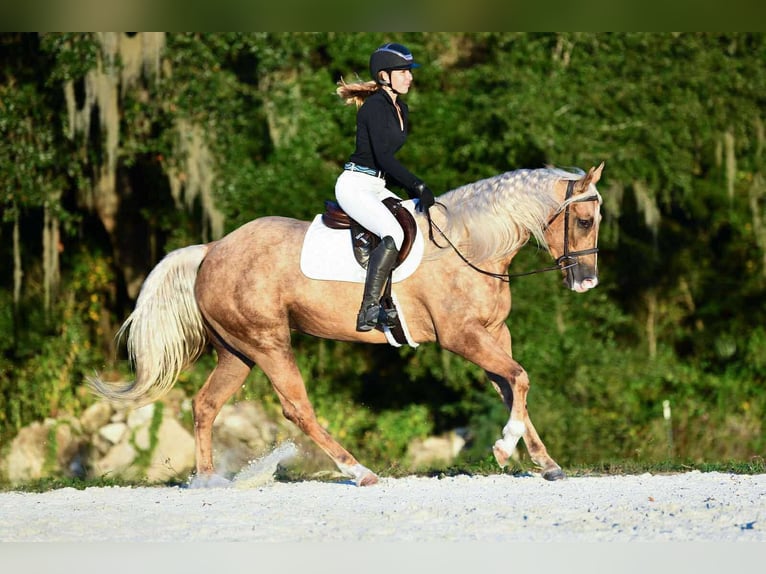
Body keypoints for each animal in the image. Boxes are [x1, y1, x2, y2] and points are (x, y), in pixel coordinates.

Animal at [90, 163, 604, 486]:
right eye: (583, 220)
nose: (588, 282)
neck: (469, 245)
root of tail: (212, 249)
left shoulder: (494, 333)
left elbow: (511, 386)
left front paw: (544, 461)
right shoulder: (462, 337)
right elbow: (520, 377)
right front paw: (504, 449)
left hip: (238, 352)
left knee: (204, 405)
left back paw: (206, 481)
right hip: (268, 344)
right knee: (296, 408)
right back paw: (358, 471)